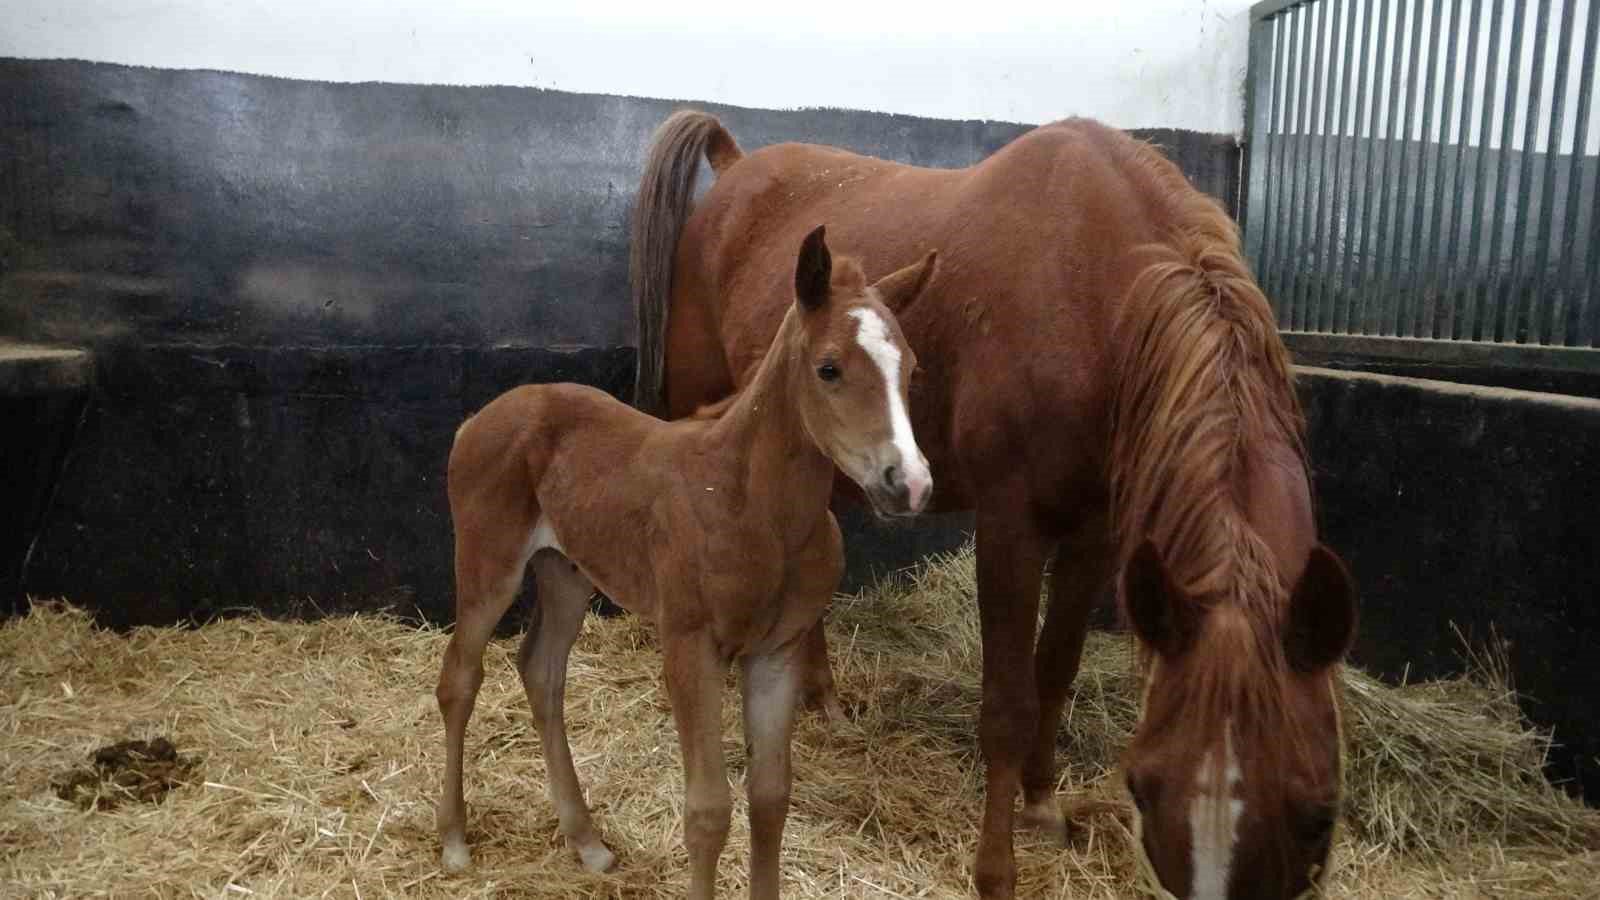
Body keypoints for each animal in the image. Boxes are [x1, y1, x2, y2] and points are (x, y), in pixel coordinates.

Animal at [438, 225, 934, 896]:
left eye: (910, 368)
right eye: (828, 369)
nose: (908, 483)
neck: (755, 509)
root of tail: (479, 418)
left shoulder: (776, 652)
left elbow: (770, 799)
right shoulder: (689, 646)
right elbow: (708, 811)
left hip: (567, 571)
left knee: (541, 671)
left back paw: (587, 843)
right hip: (489, 562)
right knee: (460, 678)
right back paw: (454, 840)